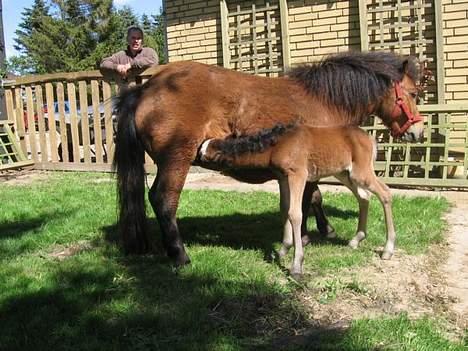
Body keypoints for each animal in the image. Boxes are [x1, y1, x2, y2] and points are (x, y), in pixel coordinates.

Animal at [199, 125, 394, 280]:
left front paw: (296, 266)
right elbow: (285, 209)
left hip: (361, 172)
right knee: (364, 197)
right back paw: (356, 240)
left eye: (206, 155)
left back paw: (388, 249)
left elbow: (295, 214)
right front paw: (283, 250)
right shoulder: (284, 177)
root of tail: (370, 138)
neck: (278, 144)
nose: (196, 153)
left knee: (385, 193)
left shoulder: (298, 175)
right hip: (346, 174)